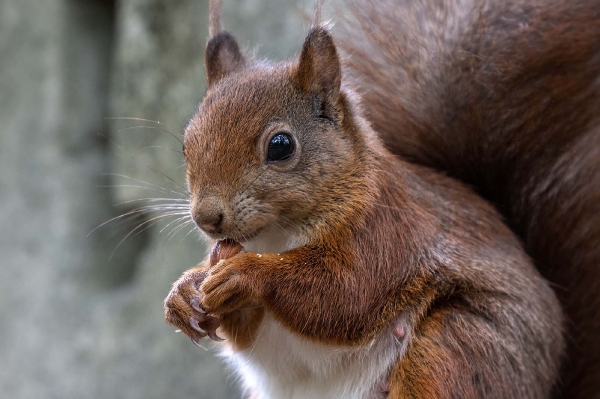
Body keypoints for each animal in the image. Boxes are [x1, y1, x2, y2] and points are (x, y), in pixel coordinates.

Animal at [164, 0, 568, 399]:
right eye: (187, 145)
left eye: (281, 146)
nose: (206, 217)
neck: (275, 237)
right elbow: (246, 332)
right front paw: (185, 291)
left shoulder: (388, 232)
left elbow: (346, 290)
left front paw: (246, 274)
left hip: (458, 344)